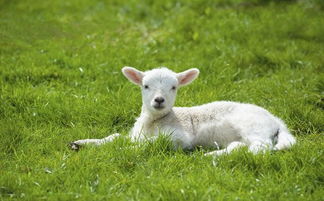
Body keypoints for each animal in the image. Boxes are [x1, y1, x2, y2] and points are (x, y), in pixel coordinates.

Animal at [71, 66, 296, 156]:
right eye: (145, 86)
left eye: (174, 87)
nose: (159, 100)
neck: (153, 122)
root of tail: (276, 120)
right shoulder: (135, 134)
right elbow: (114, 136)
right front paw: (82, 143)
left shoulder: (179, 137)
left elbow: (148, 144)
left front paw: (123, 150)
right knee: (239, 146)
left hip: (253, 126)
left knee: (260, 148)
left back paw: (211, 157)